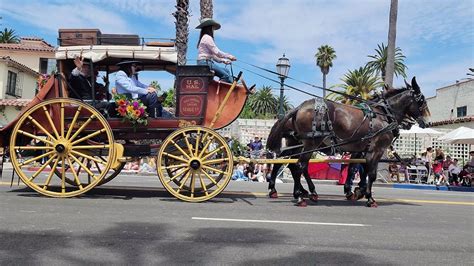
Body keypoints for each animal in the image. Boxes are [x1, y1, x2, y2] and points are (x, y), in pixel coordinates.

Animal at [266, 77, 430, 208]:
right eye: (422, 101)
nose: (428, 122)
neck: (383, 114)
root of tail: (299, 107)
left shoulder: (361, 149)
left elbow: (356, 169)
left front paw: (356, 191)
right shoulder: (375, 150)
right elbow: (370, 173)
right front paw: (368, 197)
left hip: (299, 144)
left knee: (292, 164)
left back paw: (302, 192)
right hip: (309, 143)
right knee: (298, 166)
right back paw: (299, 195)